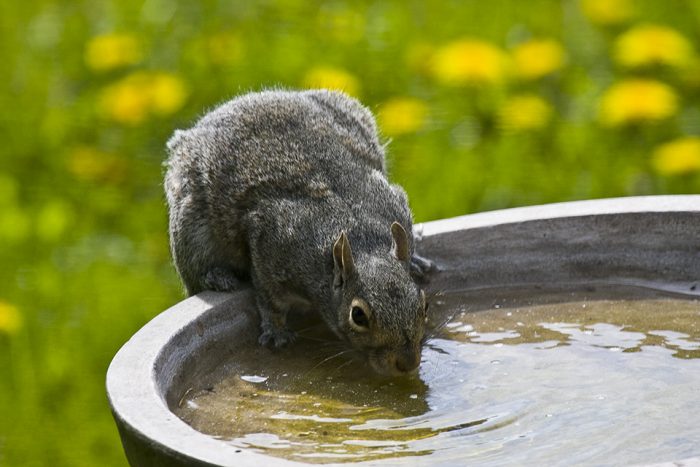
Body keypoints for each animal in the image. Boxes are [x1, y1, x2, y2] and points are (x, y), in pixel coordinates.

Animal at [165, 90, 432, 376]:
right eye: (358, 315)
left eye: (423, 304)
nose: (407, 363)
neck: (362, 240)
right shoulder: (271, 241)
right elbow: (270, 297)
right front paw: (276, 330)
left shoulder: (396, 203)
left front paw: (414, 259)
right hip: (190, 228)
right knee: (195, 270)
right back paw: (217, 276)